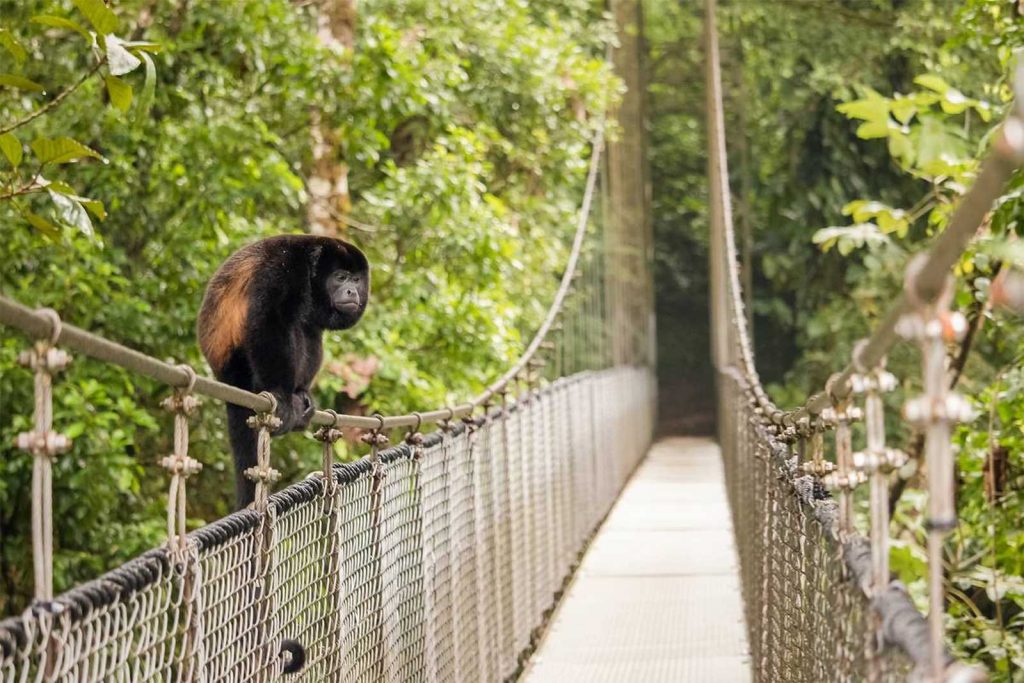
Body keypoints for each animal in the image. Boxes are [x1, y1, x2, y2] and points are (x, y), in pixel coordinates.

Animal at [197, 235, 370, 507]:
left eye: (356, 280)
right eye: (340, 277)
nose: (352, 291)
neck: (311, 270)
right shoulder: (285, 269)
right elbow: (269, 319)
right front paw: (281, 395)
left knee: (310, 330)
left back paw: (301, 394)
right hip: (240, 366)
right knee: (292, 326)